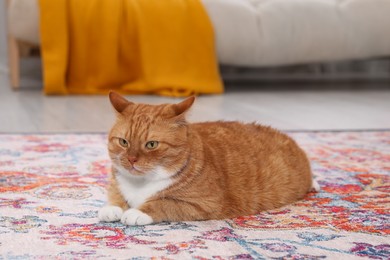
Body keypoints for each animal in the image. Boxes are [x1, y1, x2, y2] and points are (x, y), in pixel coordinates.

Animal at [98, 91, 316, 225]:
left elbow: (164, 203)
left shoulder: (205, 203)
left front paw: (137, 212)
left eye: (151, 144)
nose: (131, 160)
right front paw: (113, 208)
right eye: (124, 142)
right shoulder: (116, 182)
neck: (141, 183)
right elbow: (115, 195)